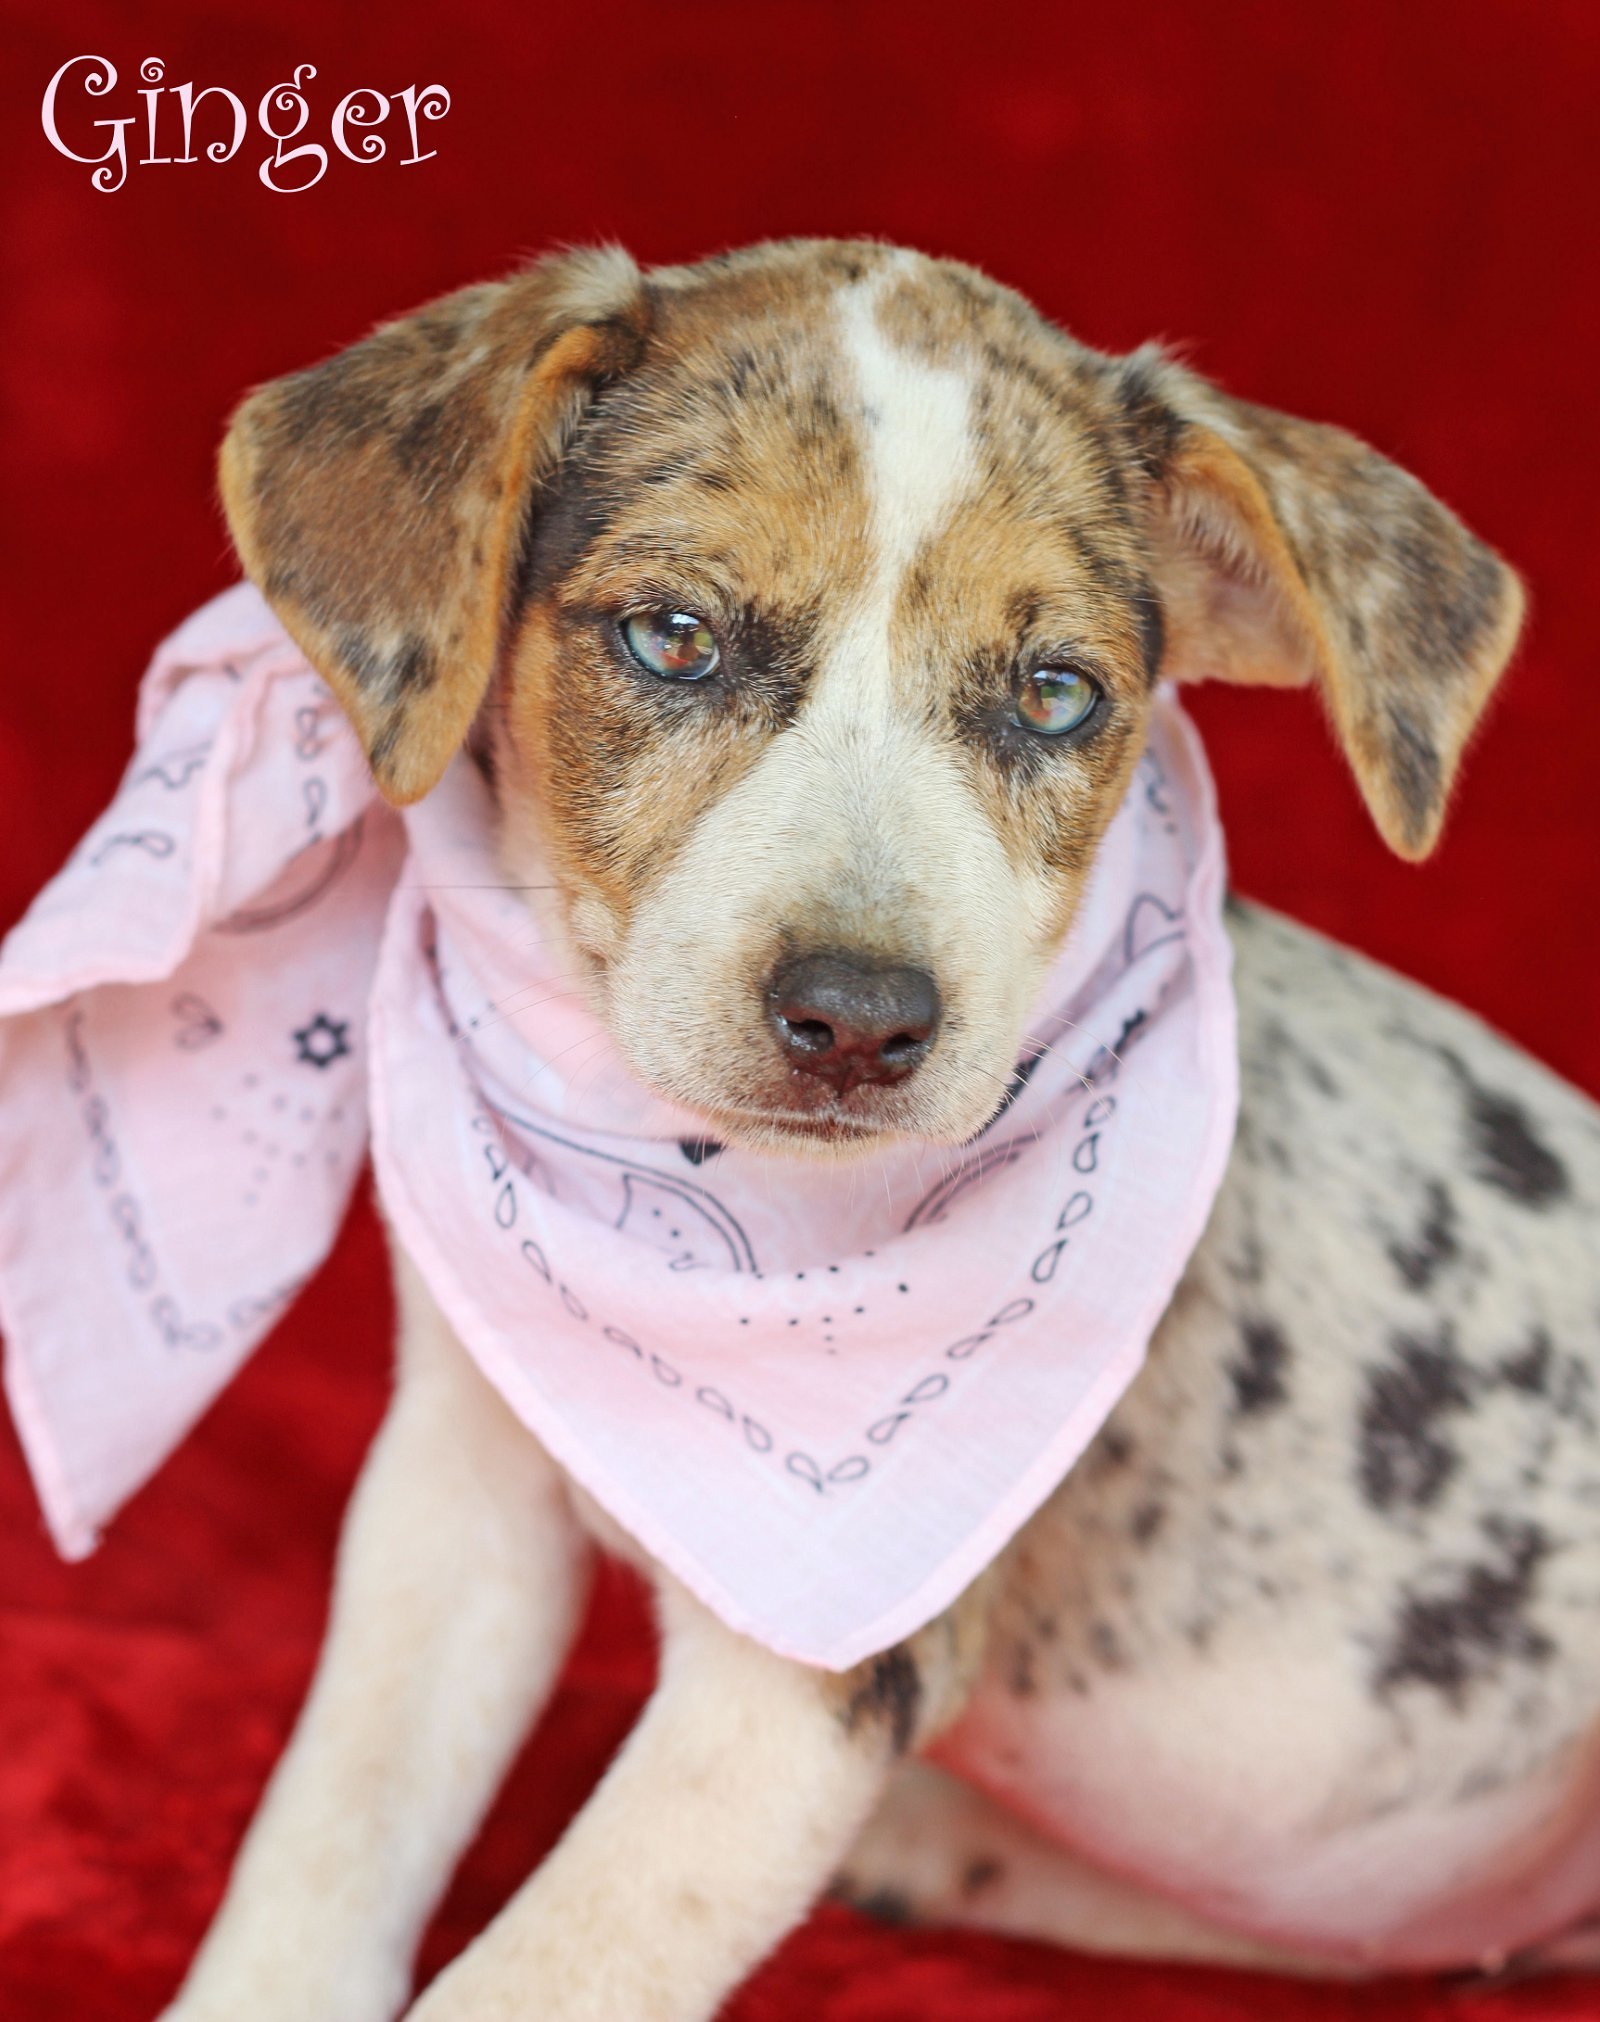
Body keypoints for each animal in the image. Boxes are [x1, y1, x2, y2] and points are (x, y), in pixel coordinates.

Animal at [143, 238, 1600, 2020]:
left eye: (1057, 694)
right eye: (676, 637)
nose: (859, 1019)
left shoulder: (805, 1686)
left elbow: (534, 1975)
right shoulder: (456, 1494)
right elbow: (322, 1848)